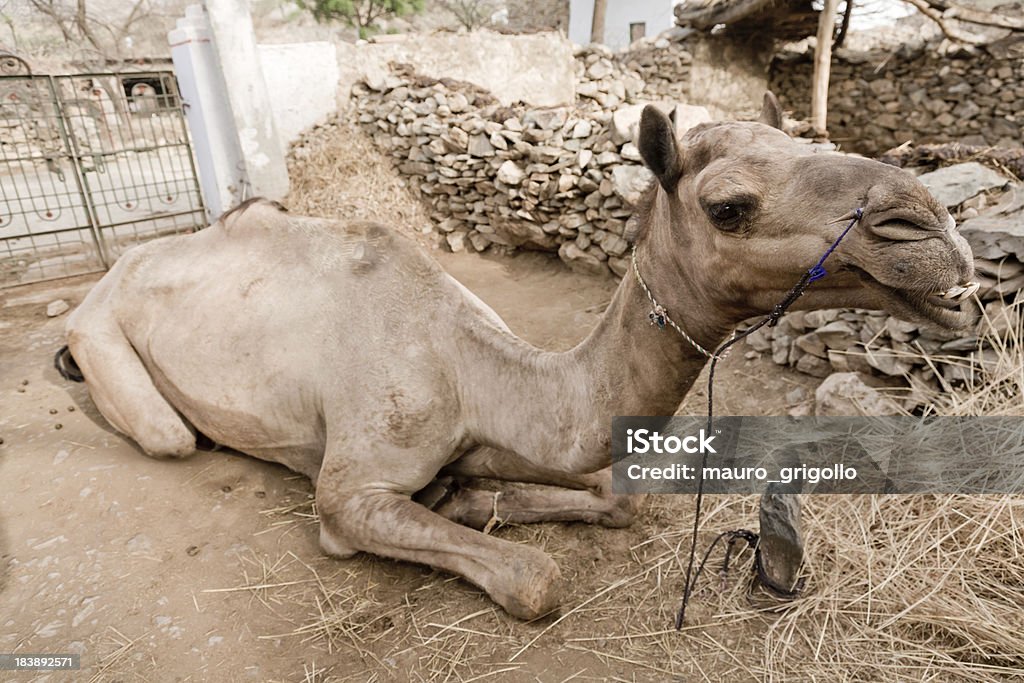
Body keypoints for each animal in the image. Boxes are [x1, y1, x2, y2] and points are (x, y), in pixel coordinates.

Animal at [58, 96, 974, 618]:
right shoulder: (346, 491)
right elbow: (536, 578)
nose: (932, 229)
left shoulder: (511, 434)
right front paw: (472, 512)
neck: (471, 369)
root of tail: (117, 268)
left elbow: (614, 494)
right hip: (103, 331)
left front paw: (471, 499)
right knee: (167, 430)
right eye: (728, 206)